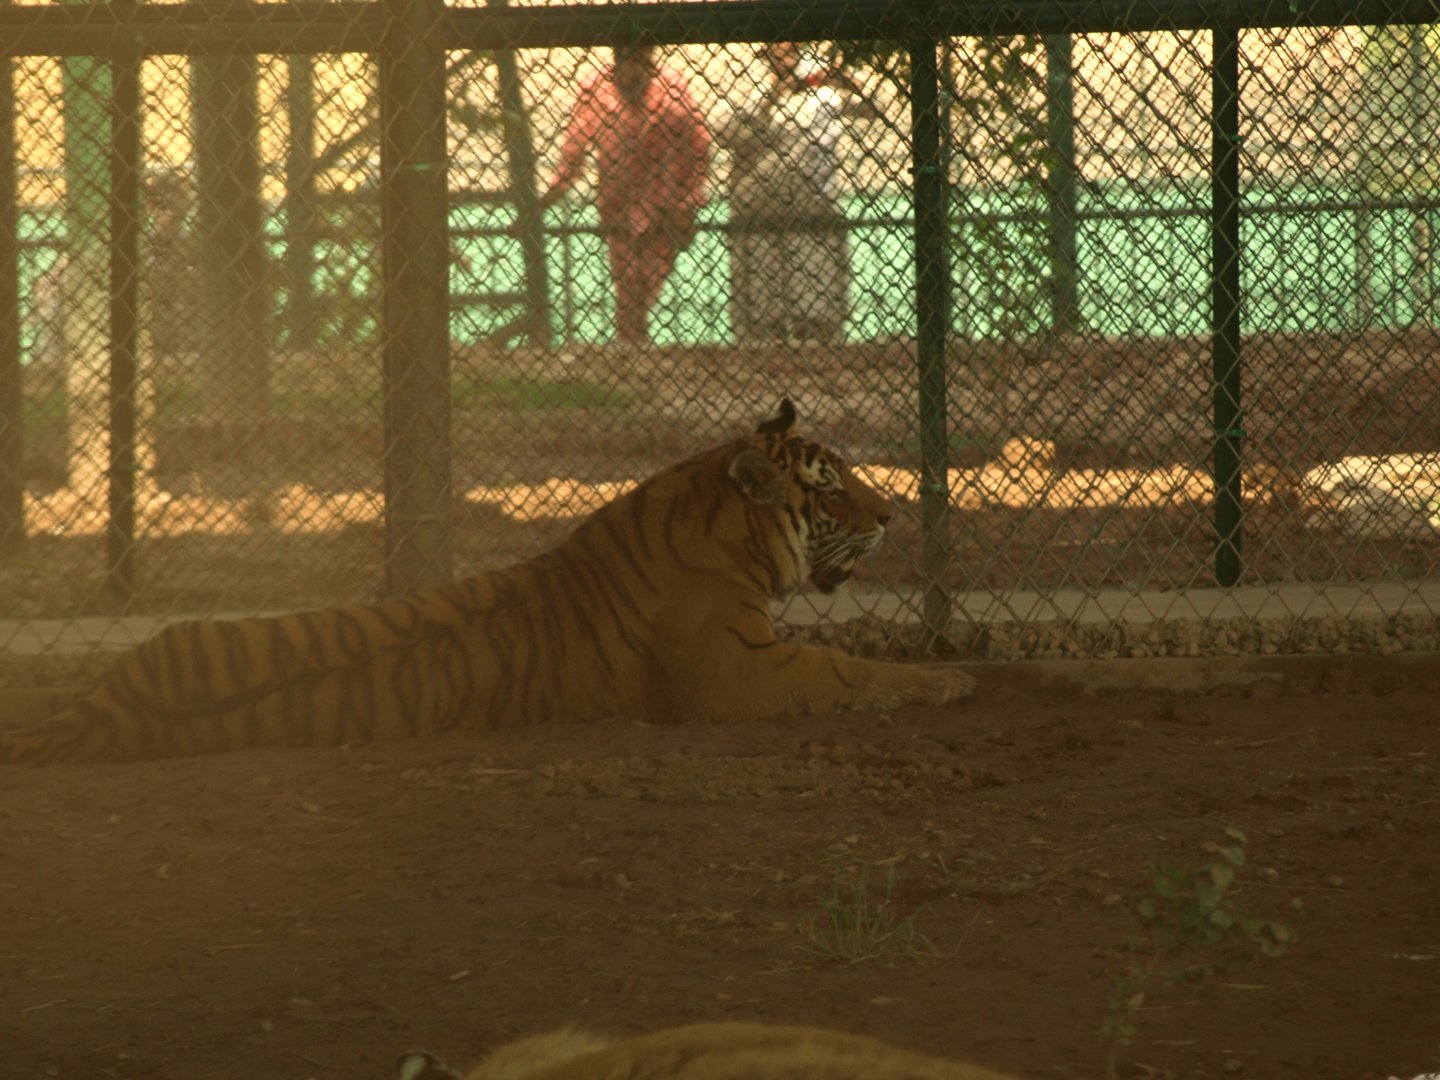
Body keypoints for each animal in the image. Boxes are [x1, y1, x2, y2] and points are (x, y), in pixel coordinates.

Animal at [0, 400, 975, 765]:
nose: (894, 514)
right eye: (830, 486)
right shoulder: (740, 669)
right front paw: (949, 680)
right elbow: (851, 668)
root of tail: (99, 710)